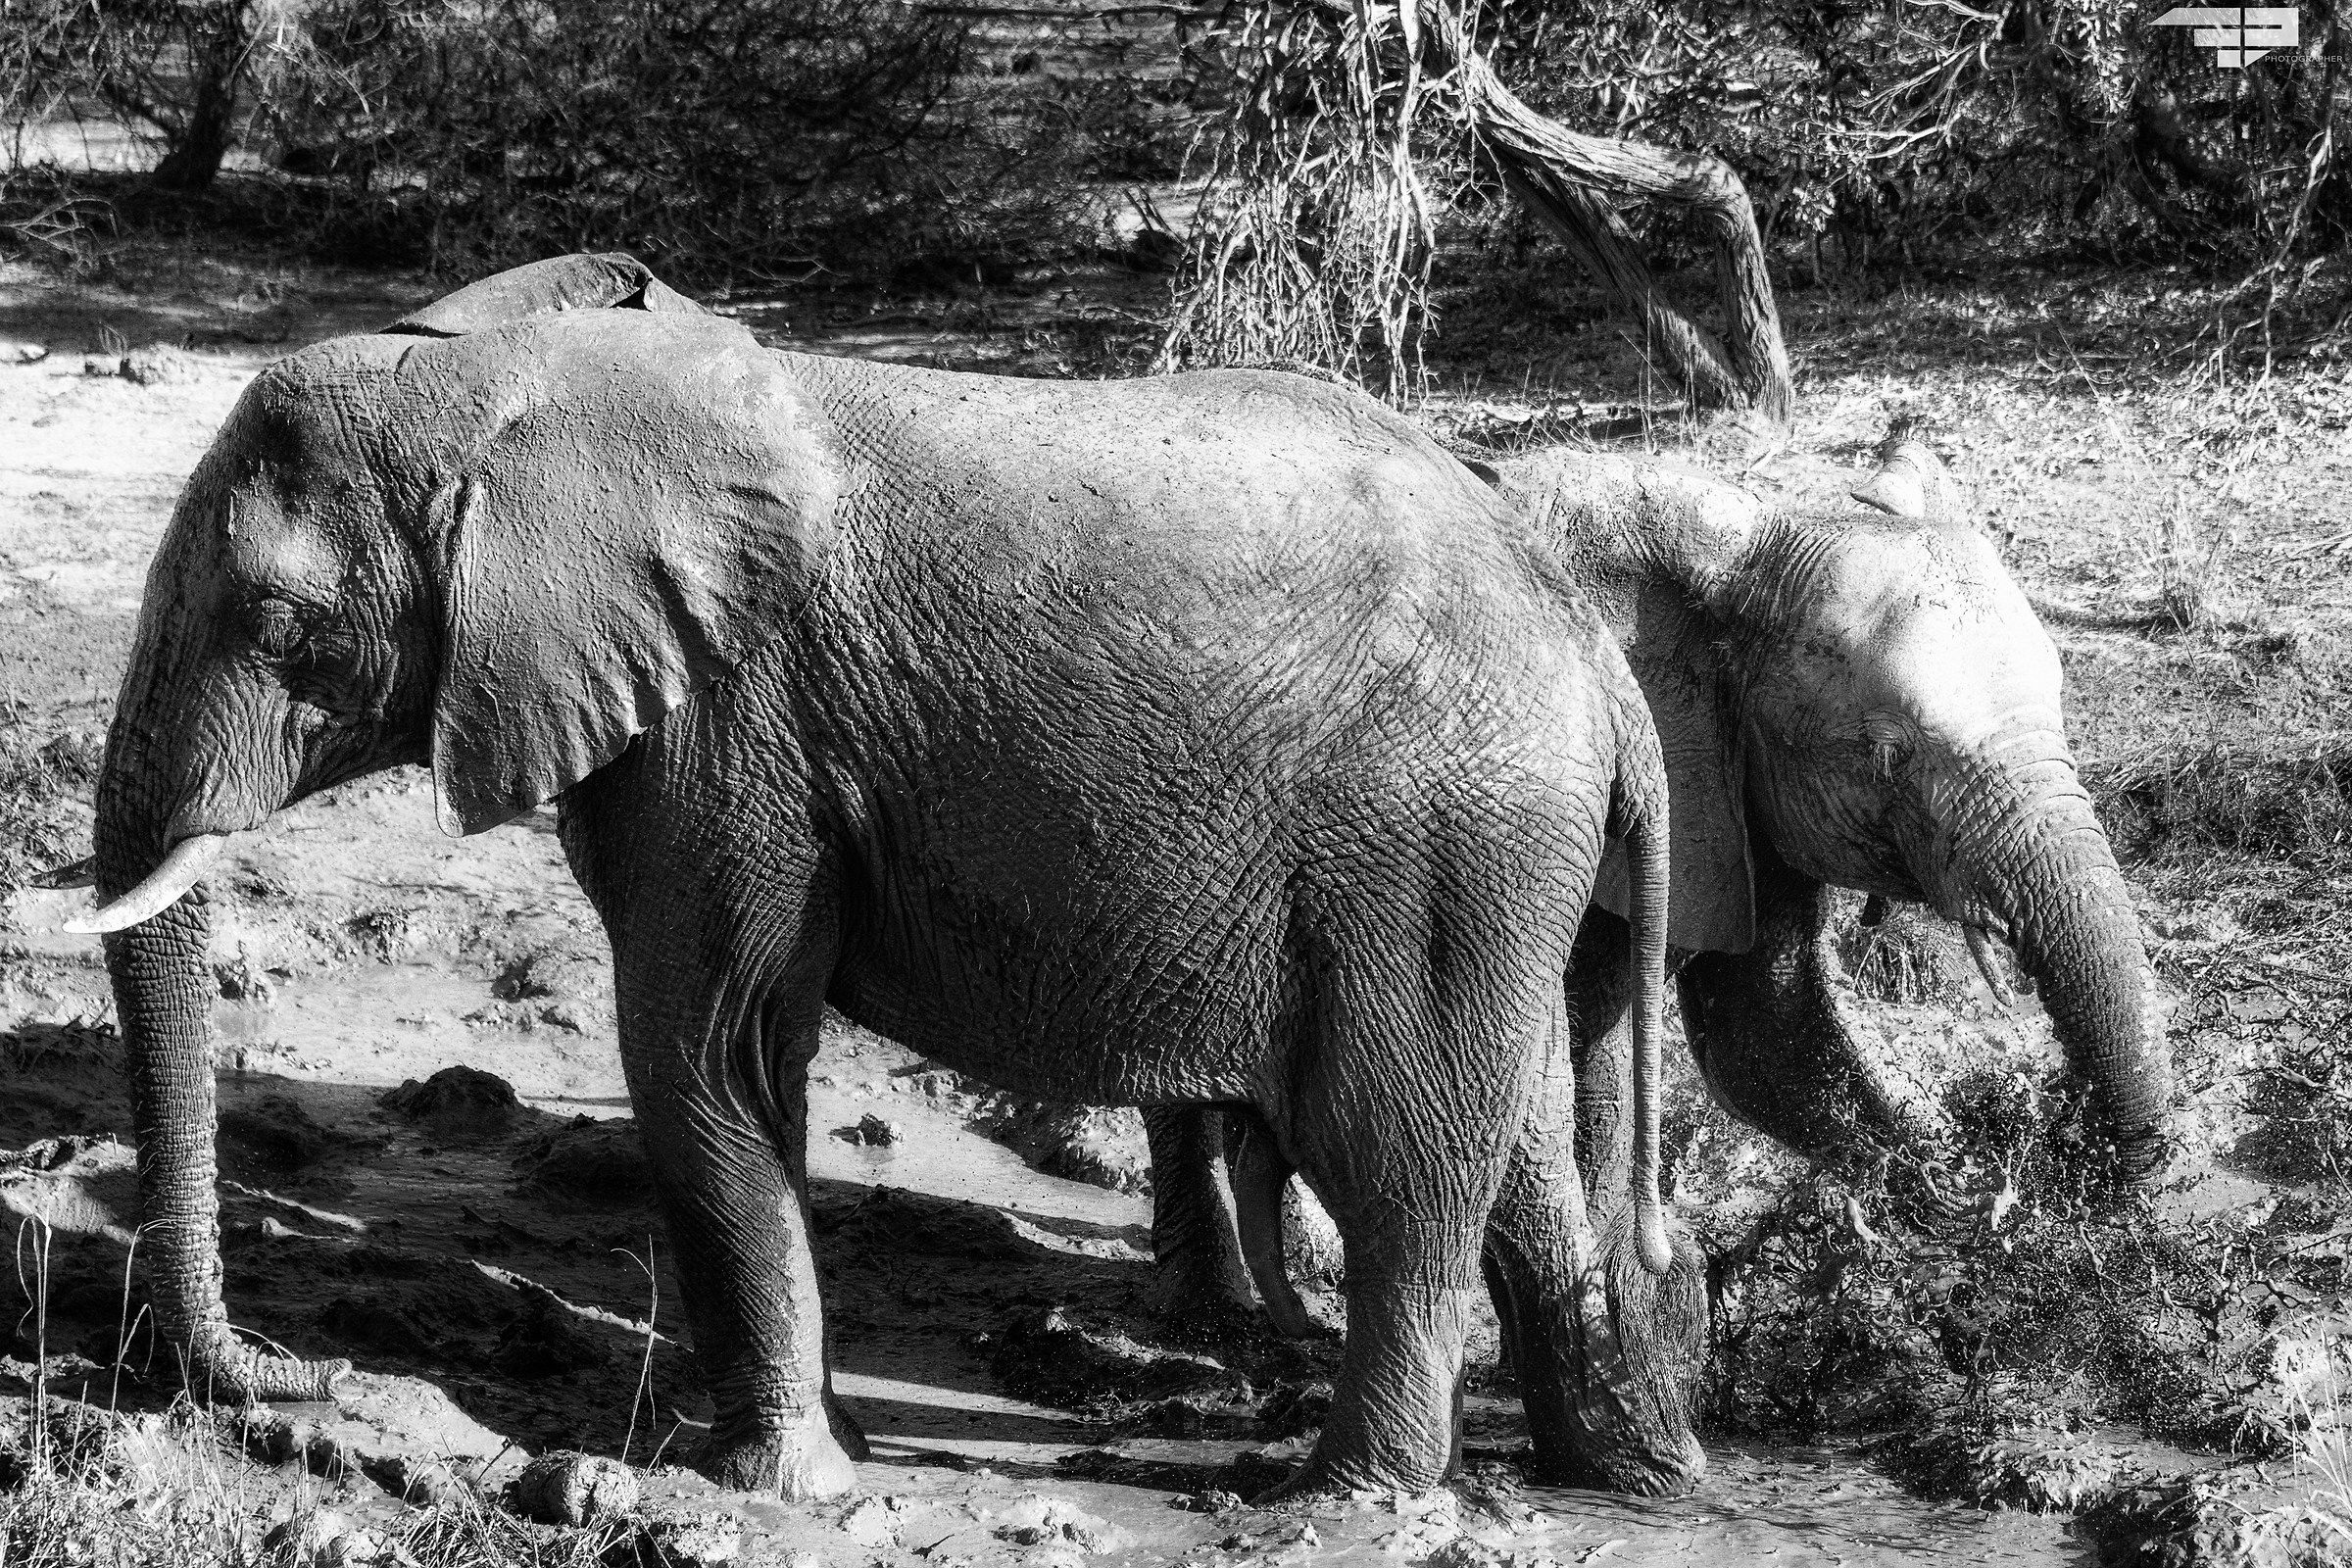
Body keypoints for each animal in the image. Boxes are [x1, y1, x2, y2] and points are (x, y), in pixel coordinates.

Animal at [72, 255, 1710, 1502]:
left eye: (280, 626)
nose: (303, 1377)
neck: (518, 374)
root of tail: (1598, 660)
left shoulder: (736, 725)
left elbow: (709, 1054)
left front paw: (779, 1486)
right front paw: (818, 1463)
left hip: (1439, 850)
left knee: (1396, 1149)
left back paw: (1343, 1501)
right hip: (1496, 875)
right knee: (1517, 1156)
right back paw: (1629, 1478)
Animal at [1144, 429, 2176, 1331]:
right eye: (1887, 757)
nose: (2065, 1152)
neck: (1740, 541)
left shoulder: (1730, 781)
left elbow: (1761, 1025)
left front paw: (1959, 1198)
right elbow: (1616, 1029)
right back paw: (1230, 1304)